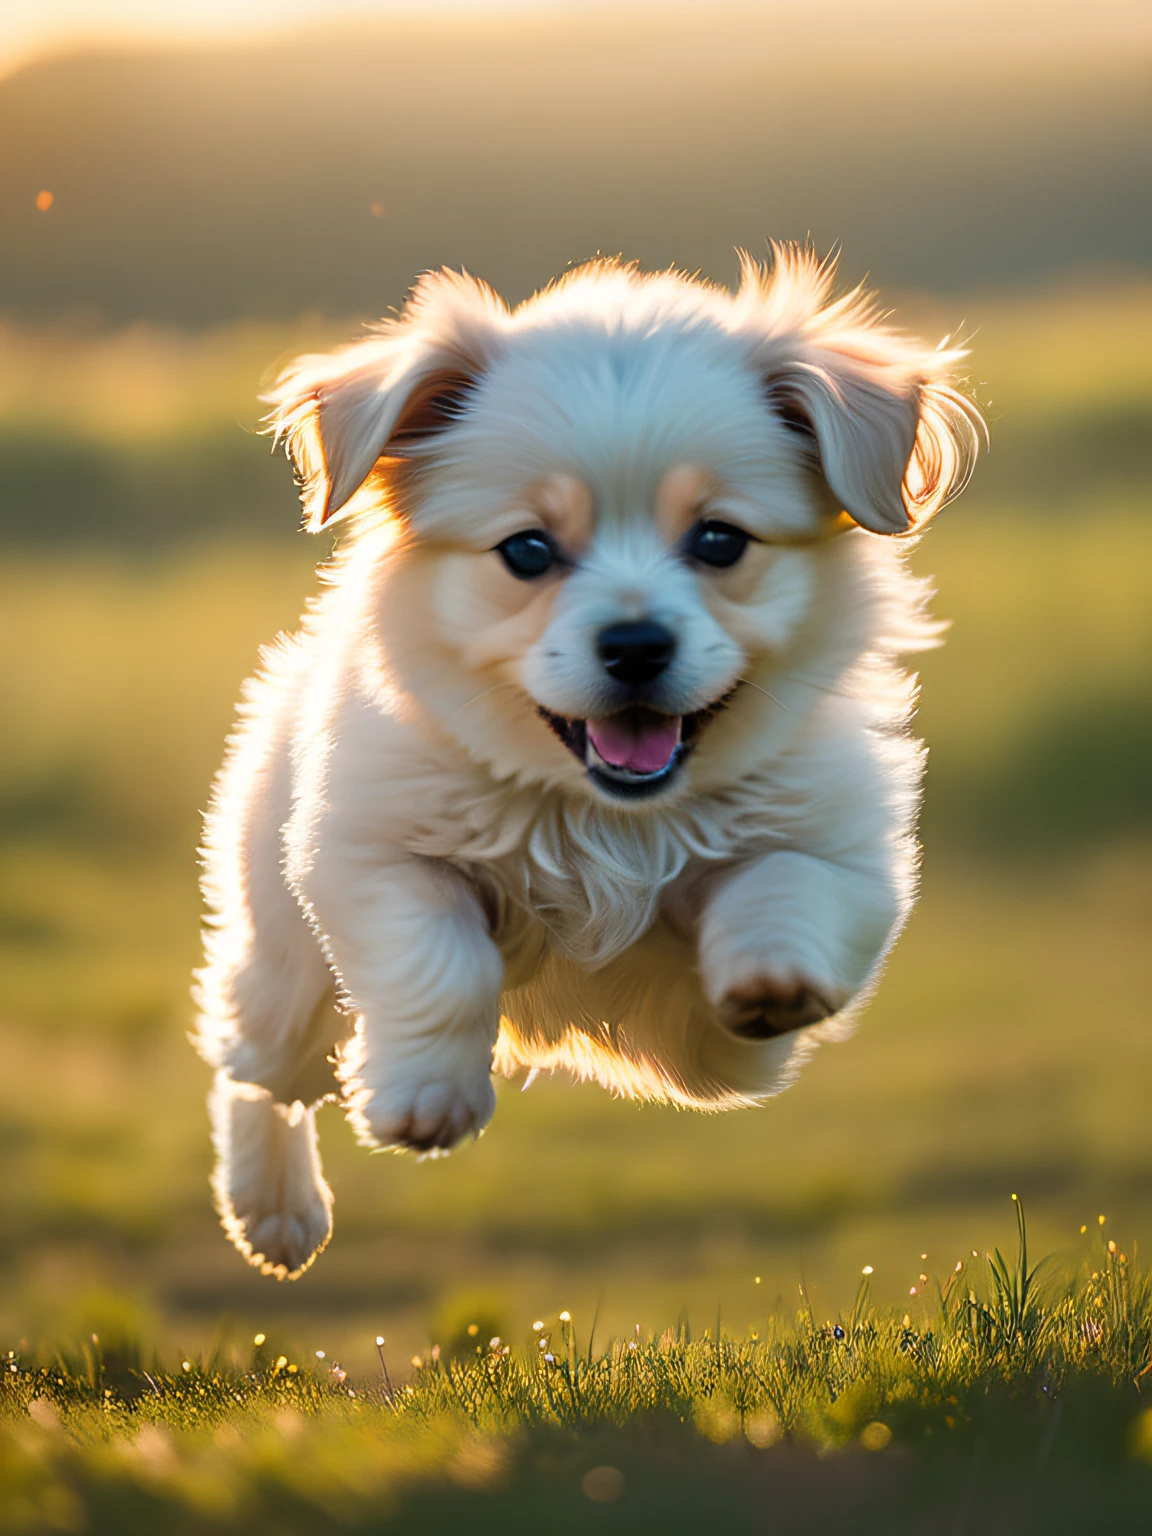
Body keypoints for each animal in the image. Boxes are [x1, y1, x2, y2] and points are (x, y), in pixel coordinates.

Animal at [192, 245, 983, 1277]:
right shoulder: (369, 852)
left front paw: (768, 977)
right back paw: (274, 1207)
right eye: (528, 550)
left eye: (719, 540)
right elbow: (442, 962)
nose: (636, 643)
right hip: (286, 962)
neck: (607, 815)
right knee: (256, 1069)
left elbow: (782, 885)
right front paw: (427, 1098)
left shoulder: (846, 855)